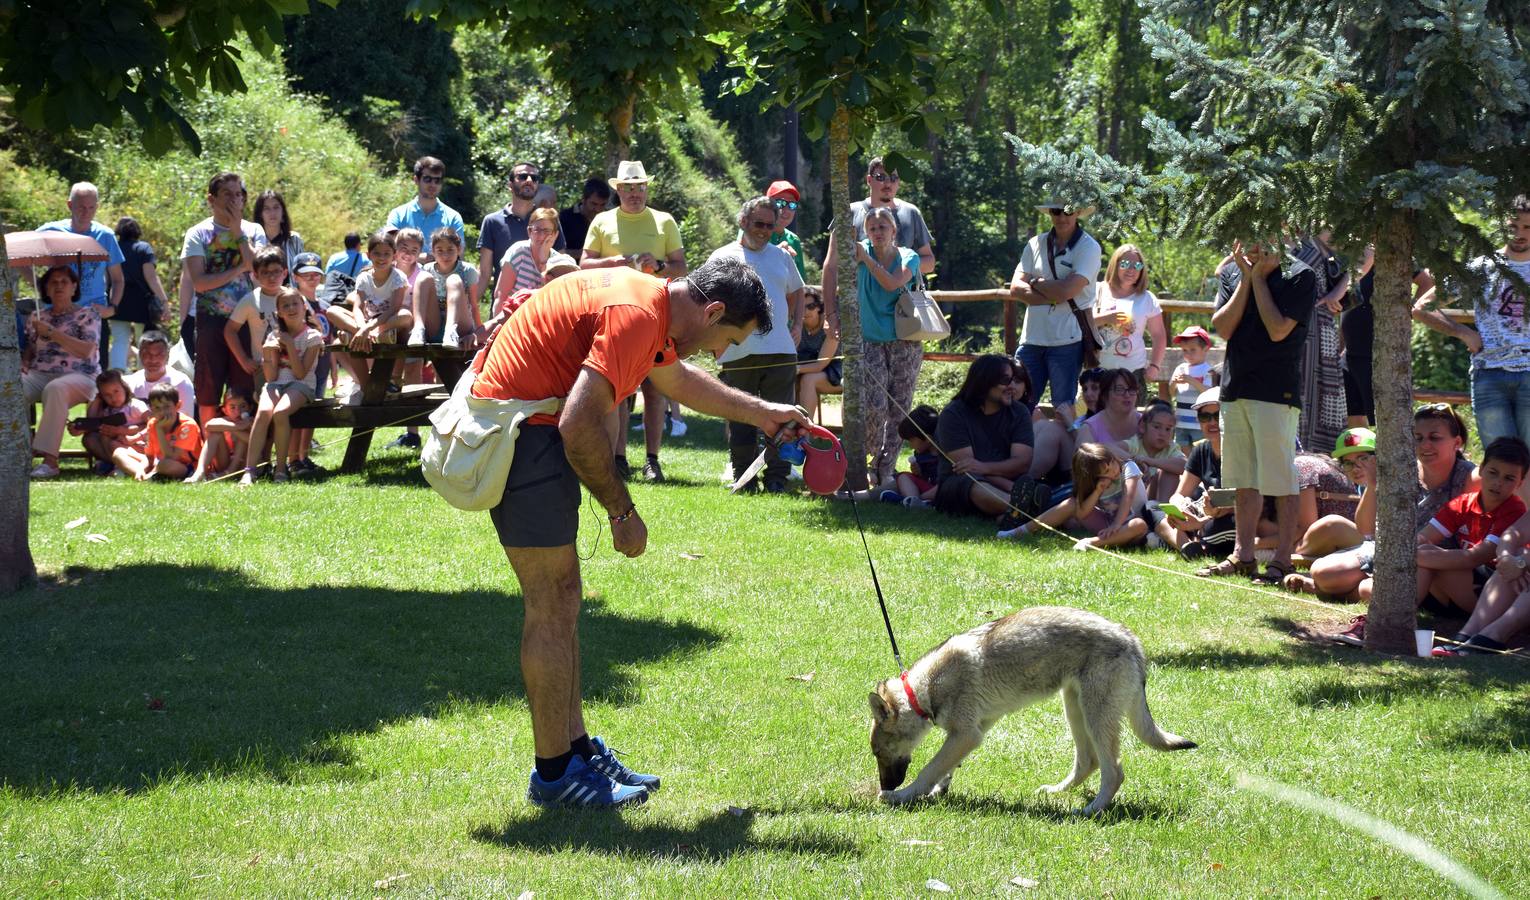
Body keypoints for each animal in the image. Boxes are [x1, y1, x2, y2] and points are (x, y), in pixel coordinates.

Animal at [875, 609, 1193, 814]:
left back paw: (1089, 812)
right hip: (1075, 709)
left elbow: (929, 769)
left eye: (878, 752)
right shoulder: (974, 730)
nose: (884, 784)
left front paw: (902, 796)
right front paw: (937, 791)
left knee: (1113, 772)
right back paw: (1056, 792)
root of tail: (1132, 641)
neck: (924, 688)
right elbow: (945, 768)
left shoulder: (966, 735)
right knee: (1088, 762)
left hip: (1095, 716)